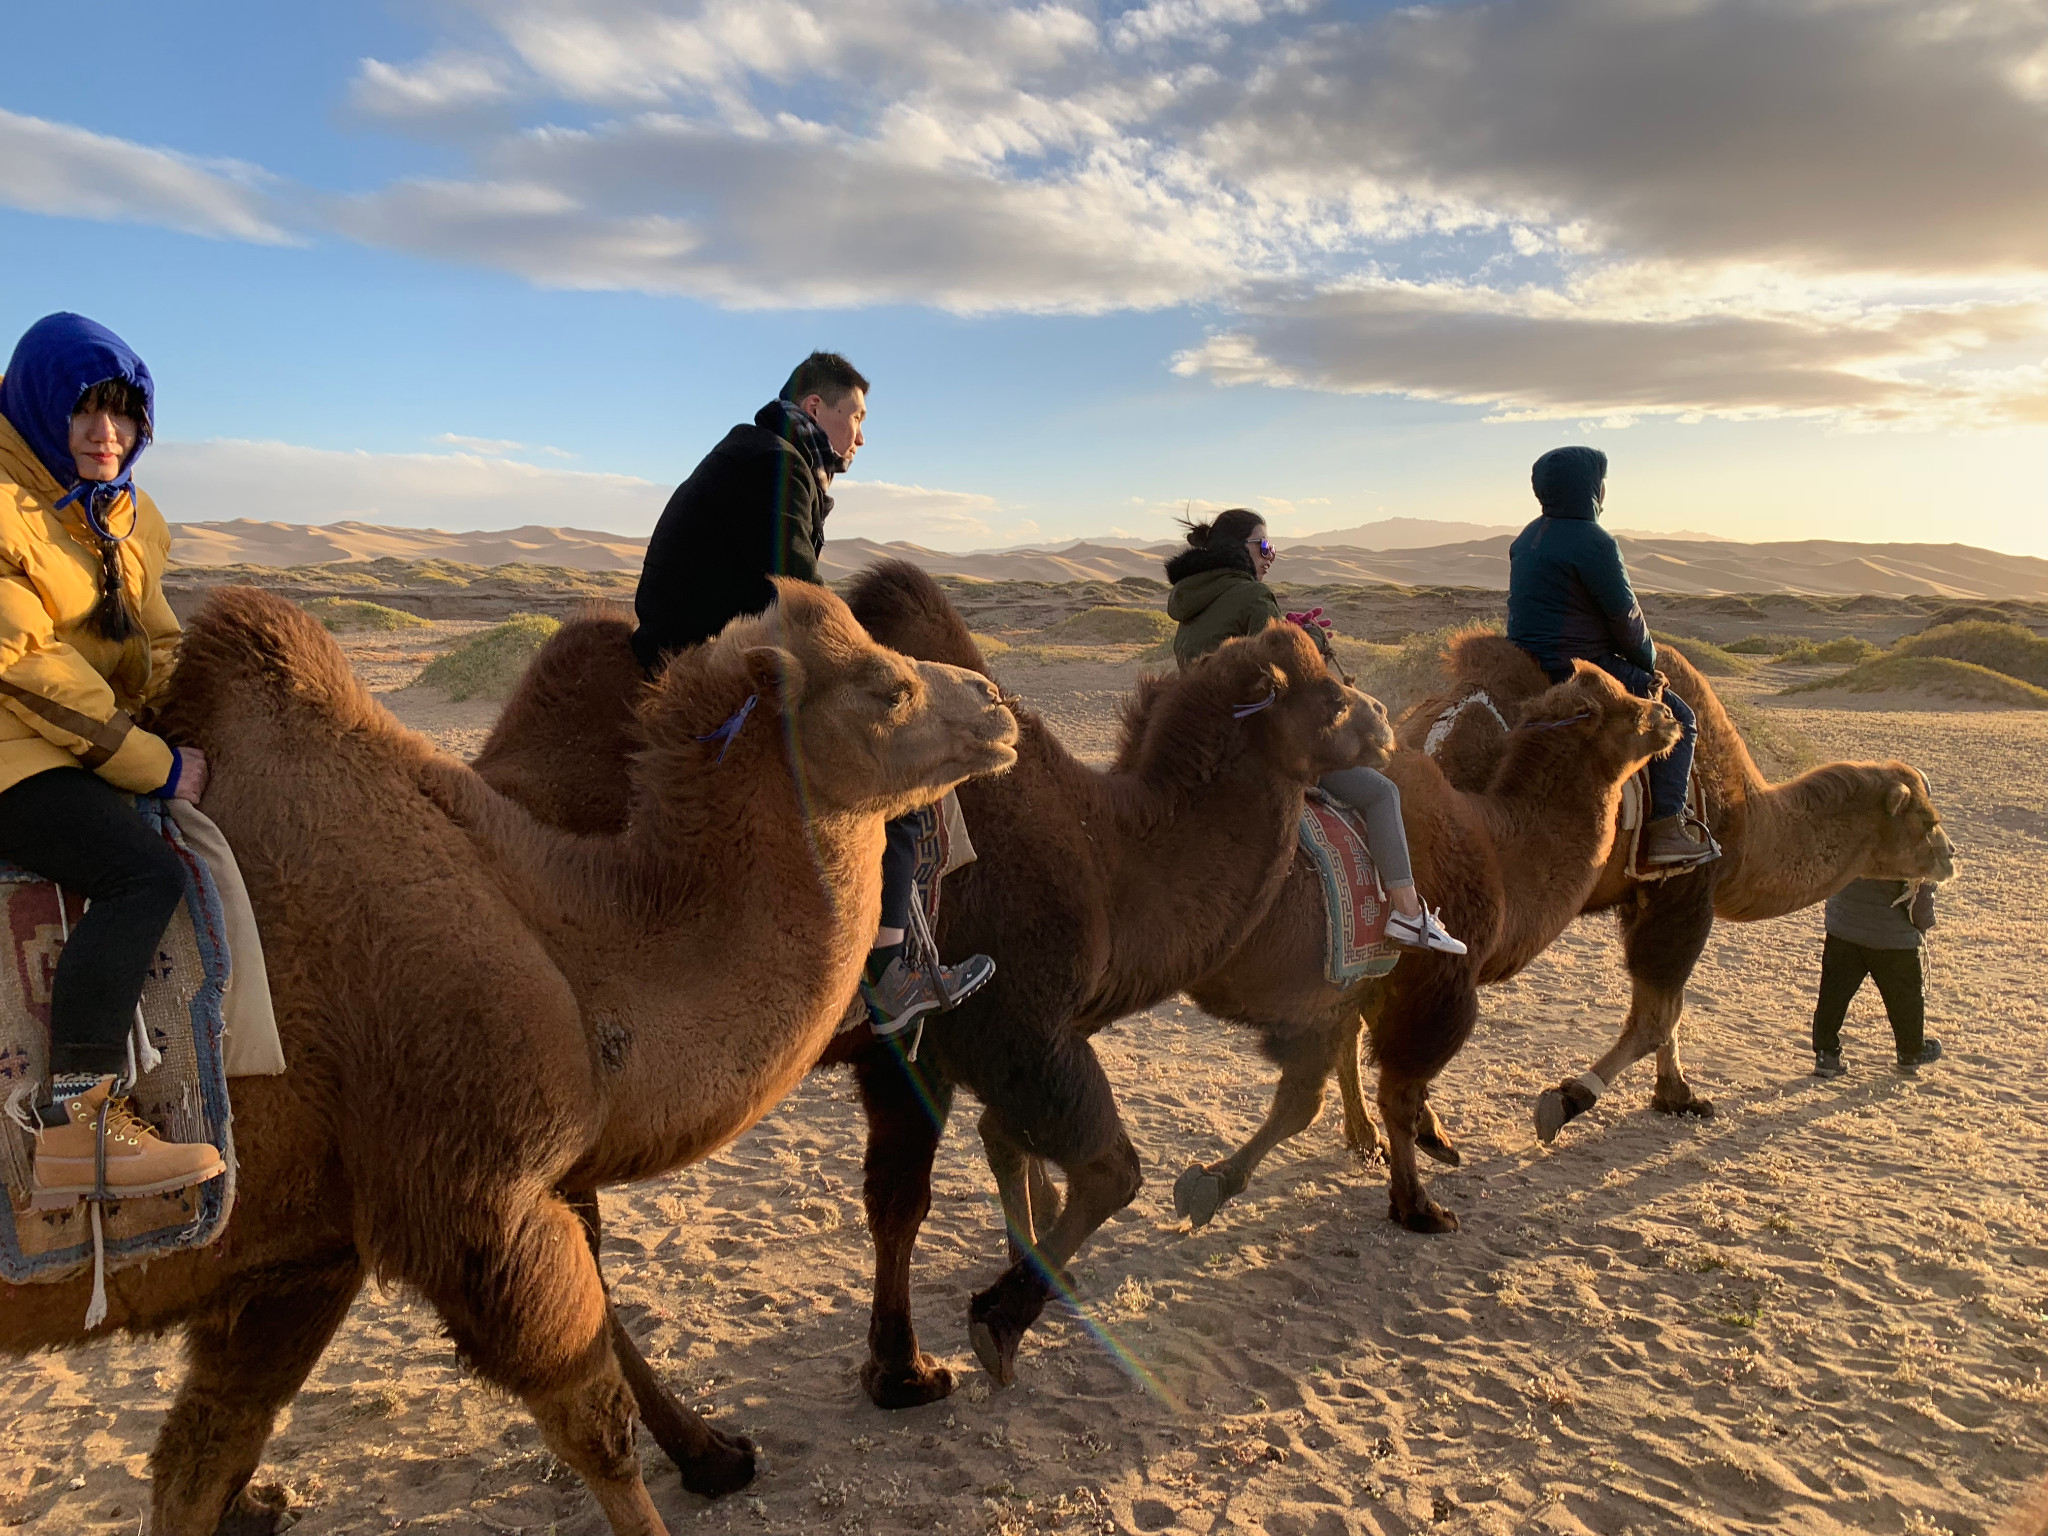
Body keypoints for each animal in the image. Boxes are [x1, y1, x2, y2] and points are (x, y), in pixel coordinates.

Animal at [0, 581, 1015, 1536]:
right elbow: (590, 1421)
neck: (563, 947)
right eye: (888, 686)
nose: (998, 703)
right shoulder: (478, 1198)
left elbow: (201, 1457)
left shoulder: (303, 1252)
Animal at [1171, 663, 1679, 1236]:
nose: (1669, 714)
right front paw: (1418, 1206)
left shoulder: (1352, 989)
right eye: (1627, 707)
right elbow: (1388, 1096)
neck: (1499, 863)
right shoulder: (1434, 990)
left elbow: (1313, 1091)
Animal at [1392, 630, 1949, 1146]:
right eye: (1926, 820)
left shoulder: (1644, 898)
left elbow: (1670, 1012)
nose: (1949, 858)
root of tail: (1429, 733)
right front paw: (1568, 1099)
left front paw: (1678, 1097)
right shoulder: (1686, 890)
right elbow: (1658, 1015)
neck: (1747, 820)